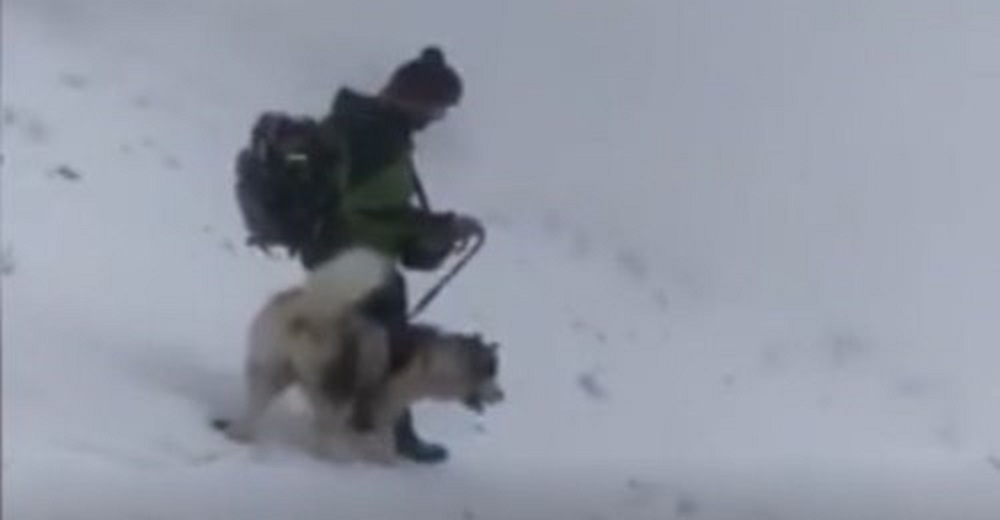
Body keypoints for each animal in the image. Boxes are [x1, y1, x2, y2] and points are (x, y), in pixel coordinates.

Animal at [215, 246, 504, 466]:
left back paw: (240, 435)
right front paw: (387, 464)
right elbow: (385, 438)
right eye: (492, 373)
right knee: (324, 434)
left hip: (270, 371)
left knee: (254, 410)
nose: (502, 396)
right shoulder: (384, 404)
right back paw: (335, 461)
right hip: (336, 390)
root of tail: (314, 310)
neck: (432, 360)